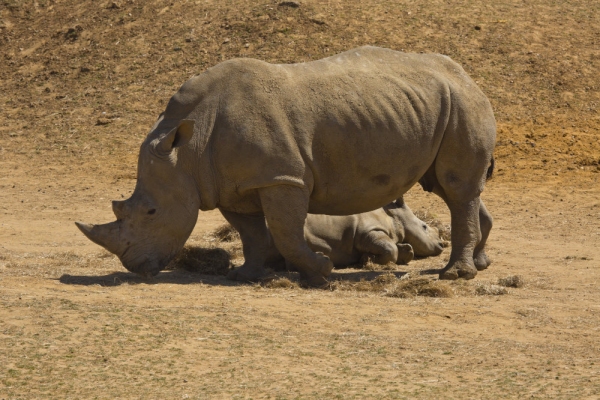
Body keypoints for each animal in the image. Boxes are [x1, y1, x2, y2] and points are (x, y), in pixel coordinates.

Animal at [76, 45, 496, 286]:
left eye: (151, 211)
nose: (134, 267)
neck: (188, 147)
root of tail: (468, 77)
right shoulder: (234, 184)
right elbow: (250, 232)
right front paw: (246, 276)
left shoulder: (282, 178)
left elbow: (285, 231)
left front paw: (321, 272)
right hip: (438, 106)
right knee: (453, 188)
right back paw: (481, 263)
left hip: (462, 104)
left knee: (455, 188)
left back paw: (456, 276)